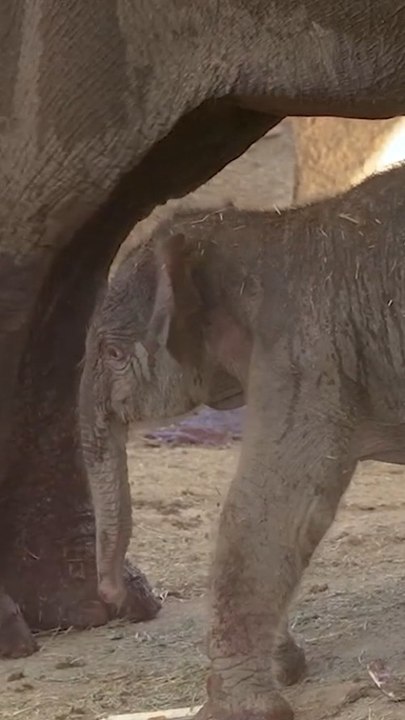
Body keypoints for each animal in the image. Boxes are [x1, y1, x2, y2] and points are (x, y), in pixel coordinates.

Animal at [80, 161, 405, 720]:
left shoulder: (308, 354)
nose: (123, 597)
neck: (266, 227)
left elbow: (267, 509)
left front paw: (240, 709)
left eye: (114, 354)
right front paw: (286, 668)